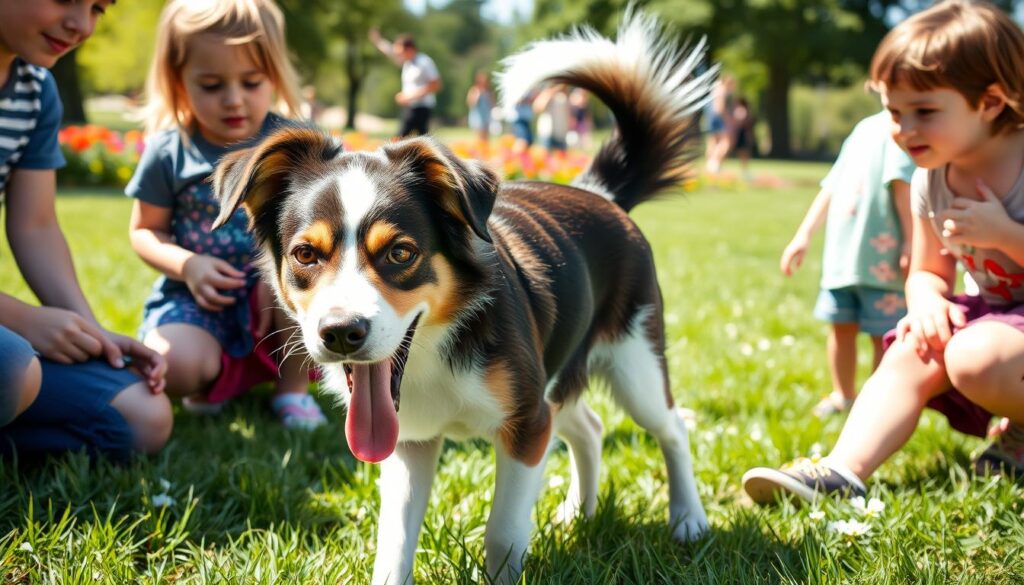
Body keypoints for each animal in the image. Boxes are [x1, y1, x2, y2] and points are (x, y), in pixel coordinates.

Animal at [212, 11, 716, 581]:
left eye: (401, 253)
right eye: (305, 254)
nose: (341, 333)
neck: (432, 354)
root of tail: (599, 192)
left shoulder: (527, 424)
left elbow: (503, 532)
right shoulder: (408, 440)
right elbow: (393, 542)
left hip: (636, 361)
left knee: (670, 428)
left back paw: (688, 519)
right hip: (557, 374)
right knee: (588, 426)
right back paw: (580, 513)